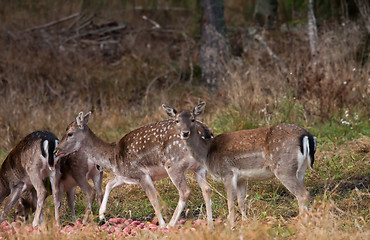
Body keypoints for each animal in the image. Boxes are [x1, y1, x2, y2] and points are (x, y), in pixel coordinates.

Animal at [53, 111, 212, 228]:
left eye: (70, 133)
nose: (56, 150)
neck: (112, 157)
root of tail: (206, 132)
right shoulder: (125, 176)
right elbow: (109, 184)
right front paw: (102, 214)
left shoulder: (141, 174)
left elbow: (154, 200)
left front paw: (162, 224)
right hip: (199, 167)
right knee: (206, 189)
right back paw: (210, 224)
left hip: (174, 165)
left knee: (185, 191)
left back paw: (172, 224)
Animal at [163, 102, 318, 228]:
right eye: (177, 120)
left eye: (193, 119)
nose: (185, 133)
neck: (207, 153)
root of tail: (308, 136)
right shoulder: (242, 178)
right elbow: (241, 201)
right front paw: (244, 222)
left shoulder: (227, 173)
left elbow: (230, 202)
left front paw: (230, 226)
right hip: (300, 170)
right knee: (303, 193)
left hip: (284, 168)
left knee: (303, 194)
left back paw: (300, 222)